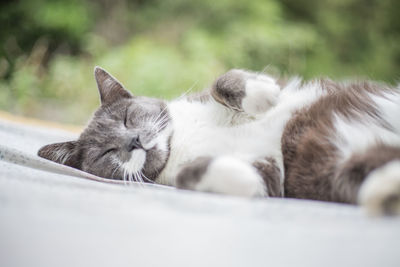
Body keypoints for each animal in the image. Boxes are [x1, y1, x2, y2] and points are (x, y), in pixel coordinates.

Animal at [38, 66, 400, 217]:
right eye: (108, 152)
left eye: (128, 117)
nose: (135, 141)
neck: (181, 143)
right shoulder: (275, 173)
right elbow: (198, 176)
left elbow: (224, 80)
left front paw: (264, 96)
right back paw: (387, 193)